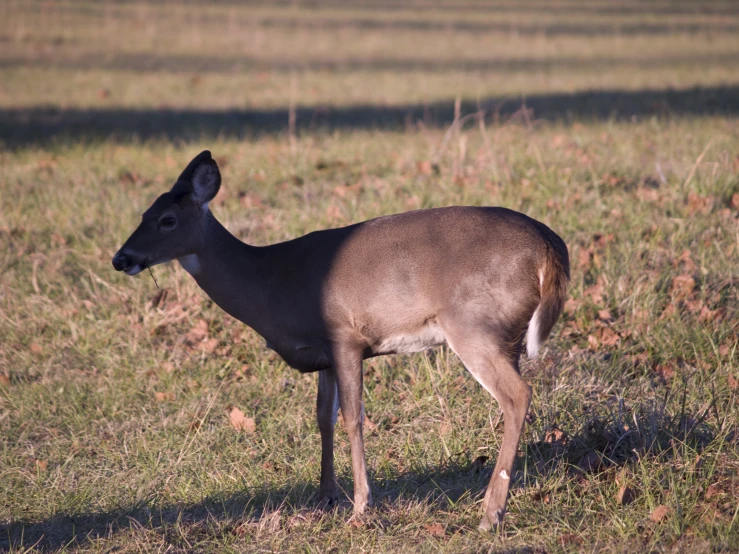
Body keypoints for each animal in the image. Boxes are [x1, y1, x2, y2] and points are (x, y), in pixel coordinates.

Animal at [112, 149, 568, 528]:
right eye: (143, 213)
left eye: (167, 220)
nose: (121, 258)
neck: (272, 280)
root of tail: (550, 247)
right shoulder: (324, 353)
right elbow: (322, 417)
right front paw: (326, 496)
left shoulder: (345, 337)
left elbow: (353, 418)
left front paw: (361, 505)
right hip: (505, 335)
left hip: (473, 324)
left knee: (517, 395)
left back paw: (490, 513)